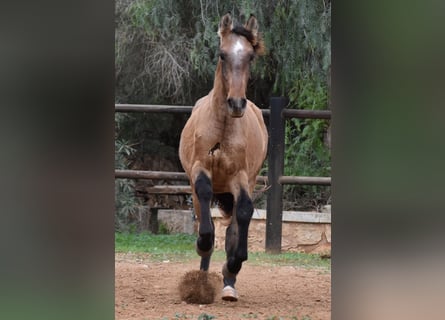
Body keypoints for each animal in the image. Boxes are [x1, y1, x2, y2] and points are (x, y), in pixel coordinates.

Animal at [178, 13, 268, 302]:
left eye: (250, 56)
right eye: (222, 54)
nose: (236, 103)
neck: (223, 126)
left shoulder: (240, 177)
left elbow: (244, 212)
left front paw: (233, 264)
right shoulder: (200, 169)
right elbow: (207, 218)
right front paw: (203, 246)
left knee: (234, 223)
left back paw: (228, 285)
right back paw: (202, 279)